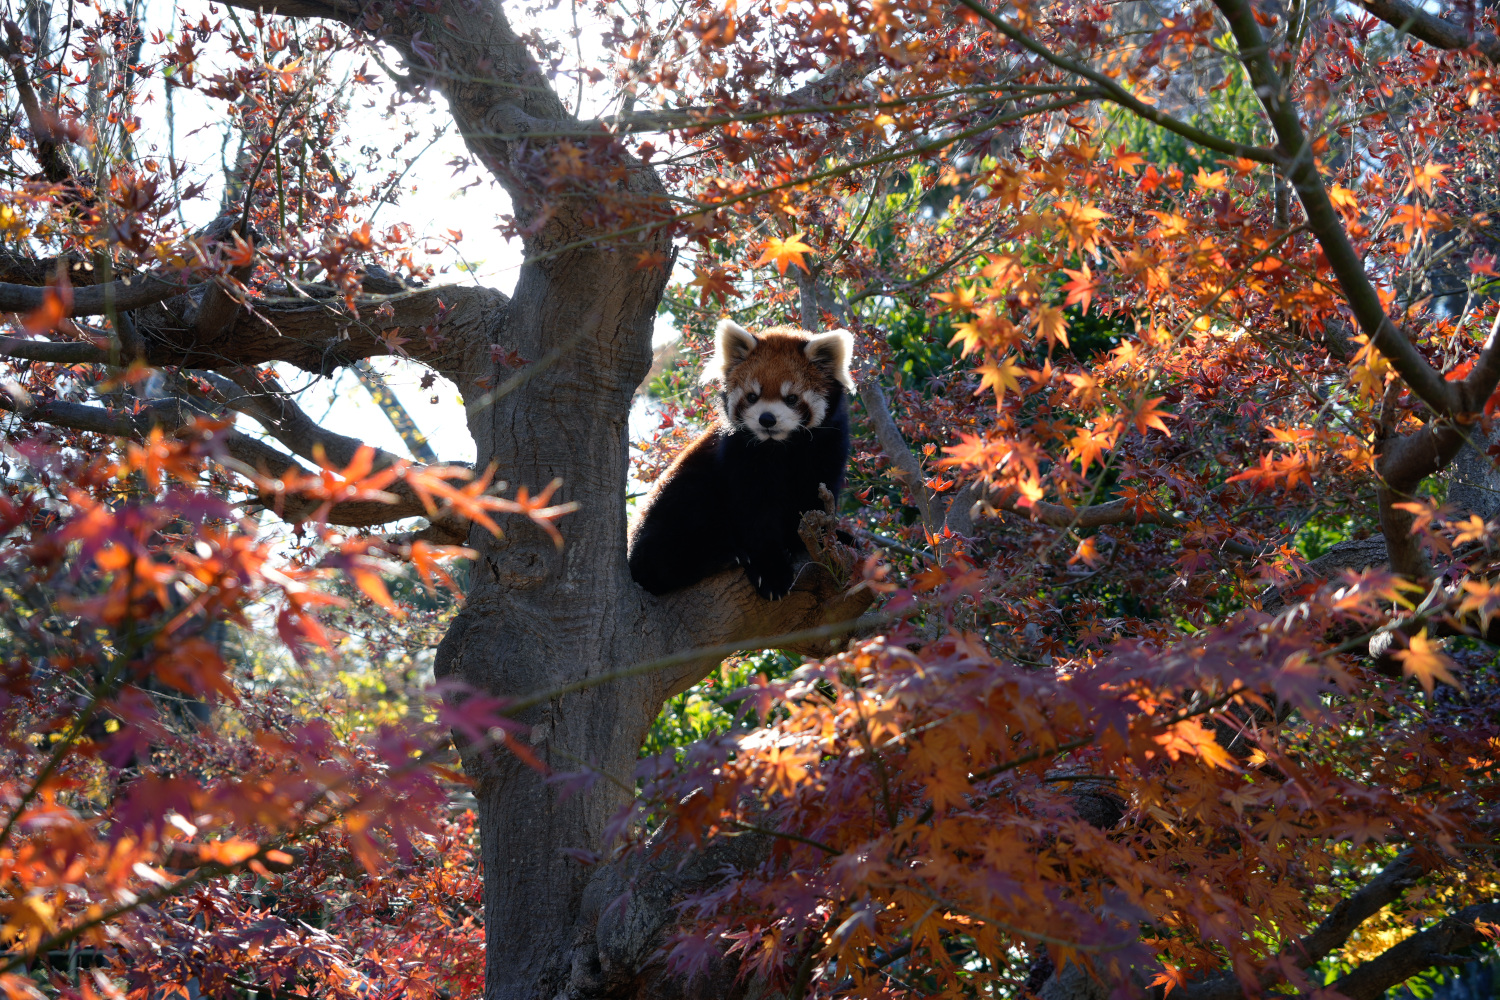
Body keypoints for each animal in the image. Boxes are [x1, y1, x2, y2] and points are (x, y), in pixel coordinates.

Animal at [624, 322, 858, 602]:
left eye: (791, 398)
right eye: (752, 396)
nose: (767, 419)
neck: (783, 446)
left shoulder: (828, 446)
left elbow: (816, 496)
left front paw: (822, 538)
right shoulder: (739, 455)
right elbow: (754, 513)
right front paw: (771, 570)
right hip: (679, 497)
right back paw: (718, 557)